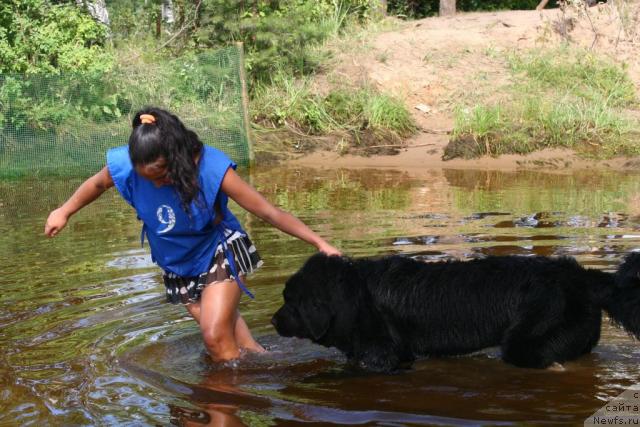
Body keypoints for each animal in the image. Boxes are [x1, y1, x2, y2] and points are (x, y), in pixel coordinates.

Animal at [270, 254, 640, 372]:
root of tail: (582, 276)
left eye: (290, 302)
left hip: (527, 340)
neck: (354, 297)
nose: (273, 319)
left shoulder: (380, 357)